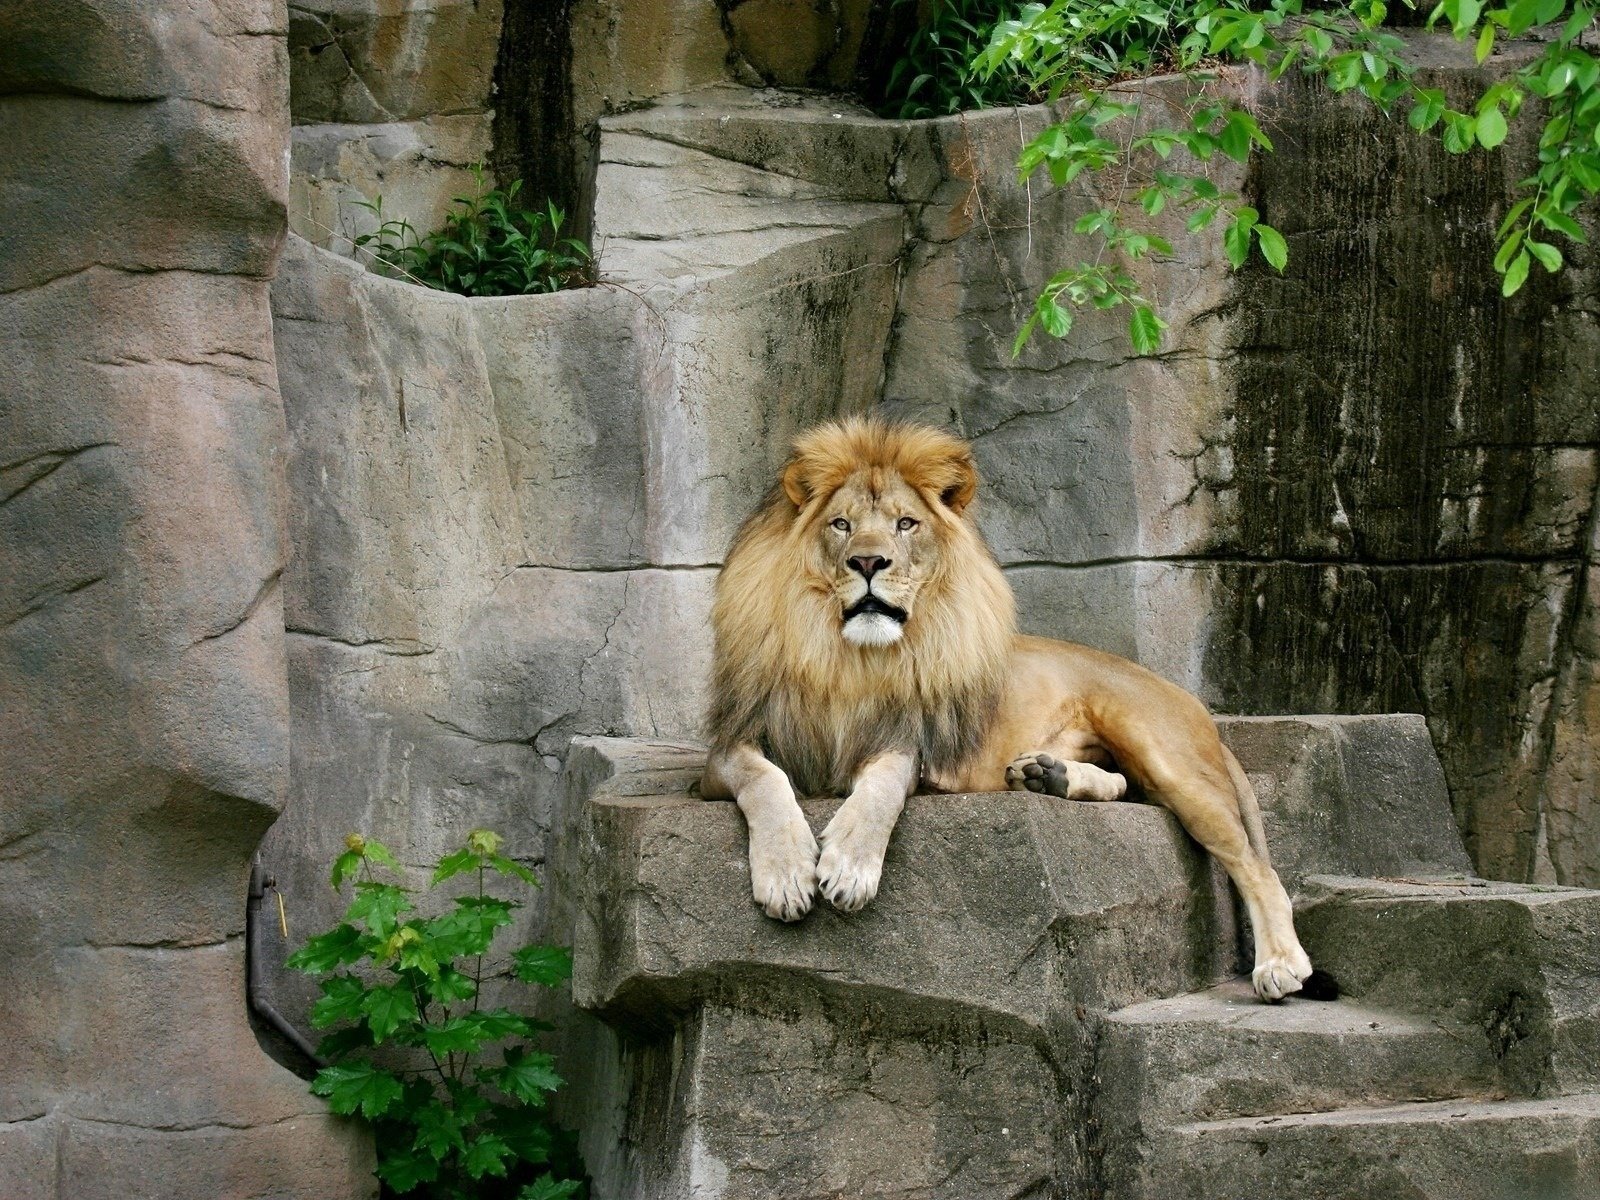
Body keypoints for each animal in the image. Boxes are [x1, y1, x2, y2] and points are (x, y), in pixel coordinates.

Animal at [701, 417, 1323, 1002]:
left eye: (905, 524)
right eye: (841, 525)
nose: (869, 561)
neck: (849, 661)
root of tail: (1192, 701)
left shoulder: (910, 743)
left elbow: (881, 785)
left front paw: (850, 866)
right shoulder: (725, 749)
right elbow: (763, 778)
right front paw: (786, 874)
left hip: (1163, 752)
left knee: (1257, 866)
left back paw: (1279, 964)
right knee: (1128, 788)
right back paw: (1048, 776)